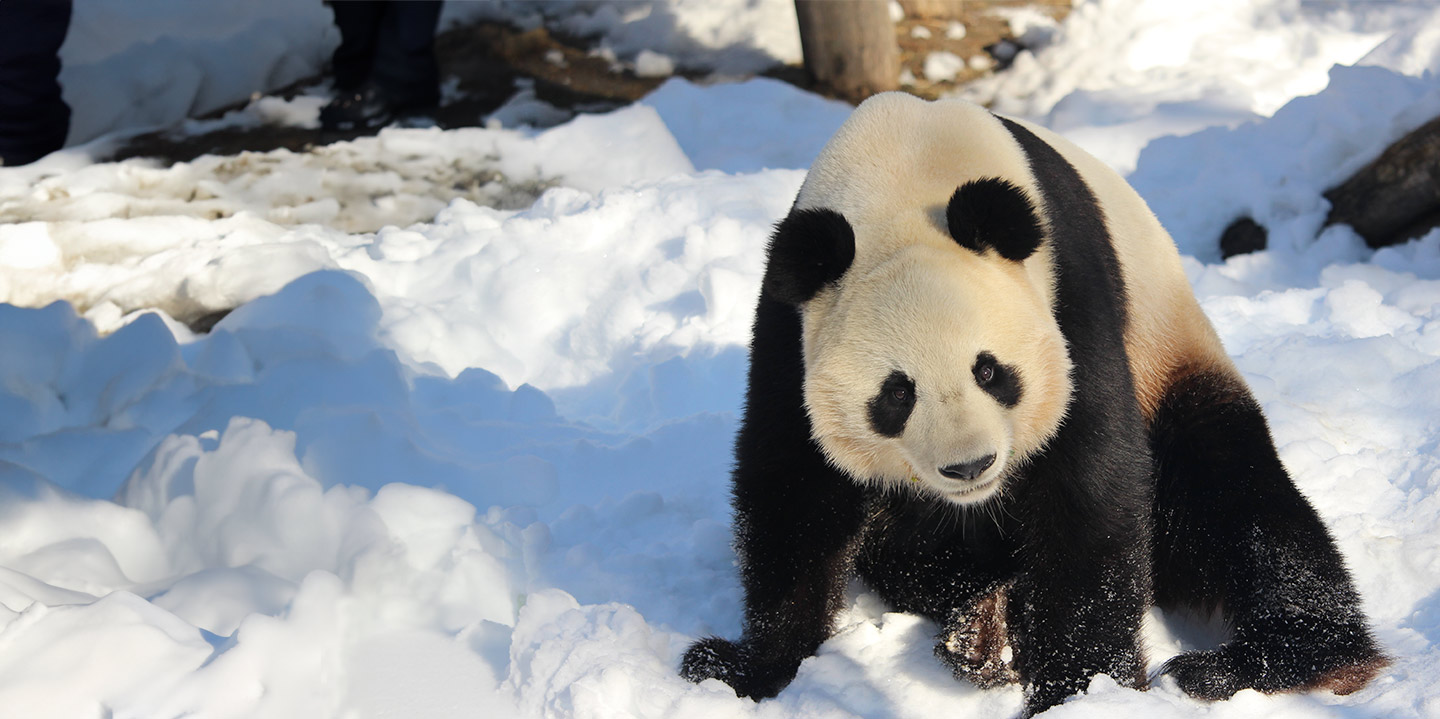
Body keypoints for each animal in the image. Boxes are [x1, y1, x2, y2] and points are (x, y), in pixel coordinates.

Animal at [679, 92, 1388, 717]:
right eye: (897, 393)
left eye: (990, 371)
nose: (969, 467)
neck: (904, 176)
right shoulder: (792, 329)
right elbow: (793, 485)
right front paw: (743, 667)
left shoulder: (1069, 298)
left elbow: (1089, 486)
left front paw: (1083, 692)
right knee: (906, 550)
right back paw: (985, 624)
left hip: (1168, 350)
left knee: (1234, 495)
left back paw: (1265, 662)